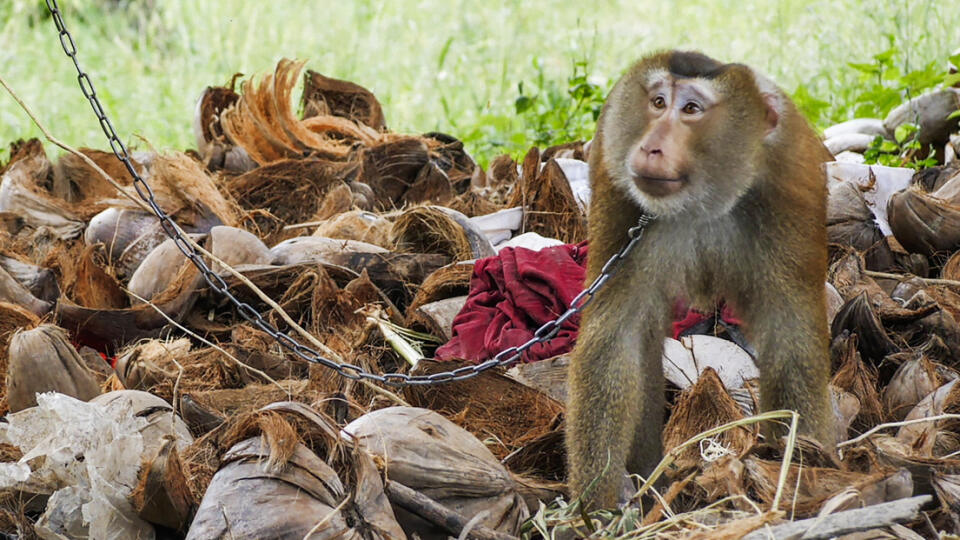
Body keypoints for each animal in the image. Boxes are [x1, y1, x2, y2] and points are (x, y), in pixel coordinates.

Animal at [568, 48, 836, 508]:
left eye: (691, 109)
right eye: (658, 102)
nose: (651, 146)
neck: (705, 201)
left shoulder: (789, 187)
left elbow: (791, 334)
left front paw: (801, 470)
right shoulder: (619, 193)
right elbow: (615, 336)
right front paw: (595, 506)